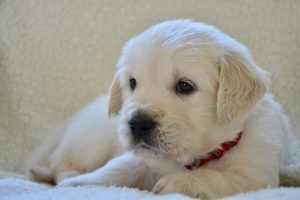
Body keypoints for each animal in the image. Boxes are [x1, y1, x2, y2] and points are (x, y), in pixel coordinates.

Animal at [26, 19, 300, 198]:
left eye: (185, 86)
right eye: (132, 82)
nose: (137, 124)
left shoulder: (257, 176)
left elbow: (220, 178)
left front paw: (178, 183)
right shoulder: (139, 158)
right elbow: (117, 167)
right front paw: (80, 185)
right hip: (91, 140)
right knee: (60, 163)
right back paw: (61, 176)